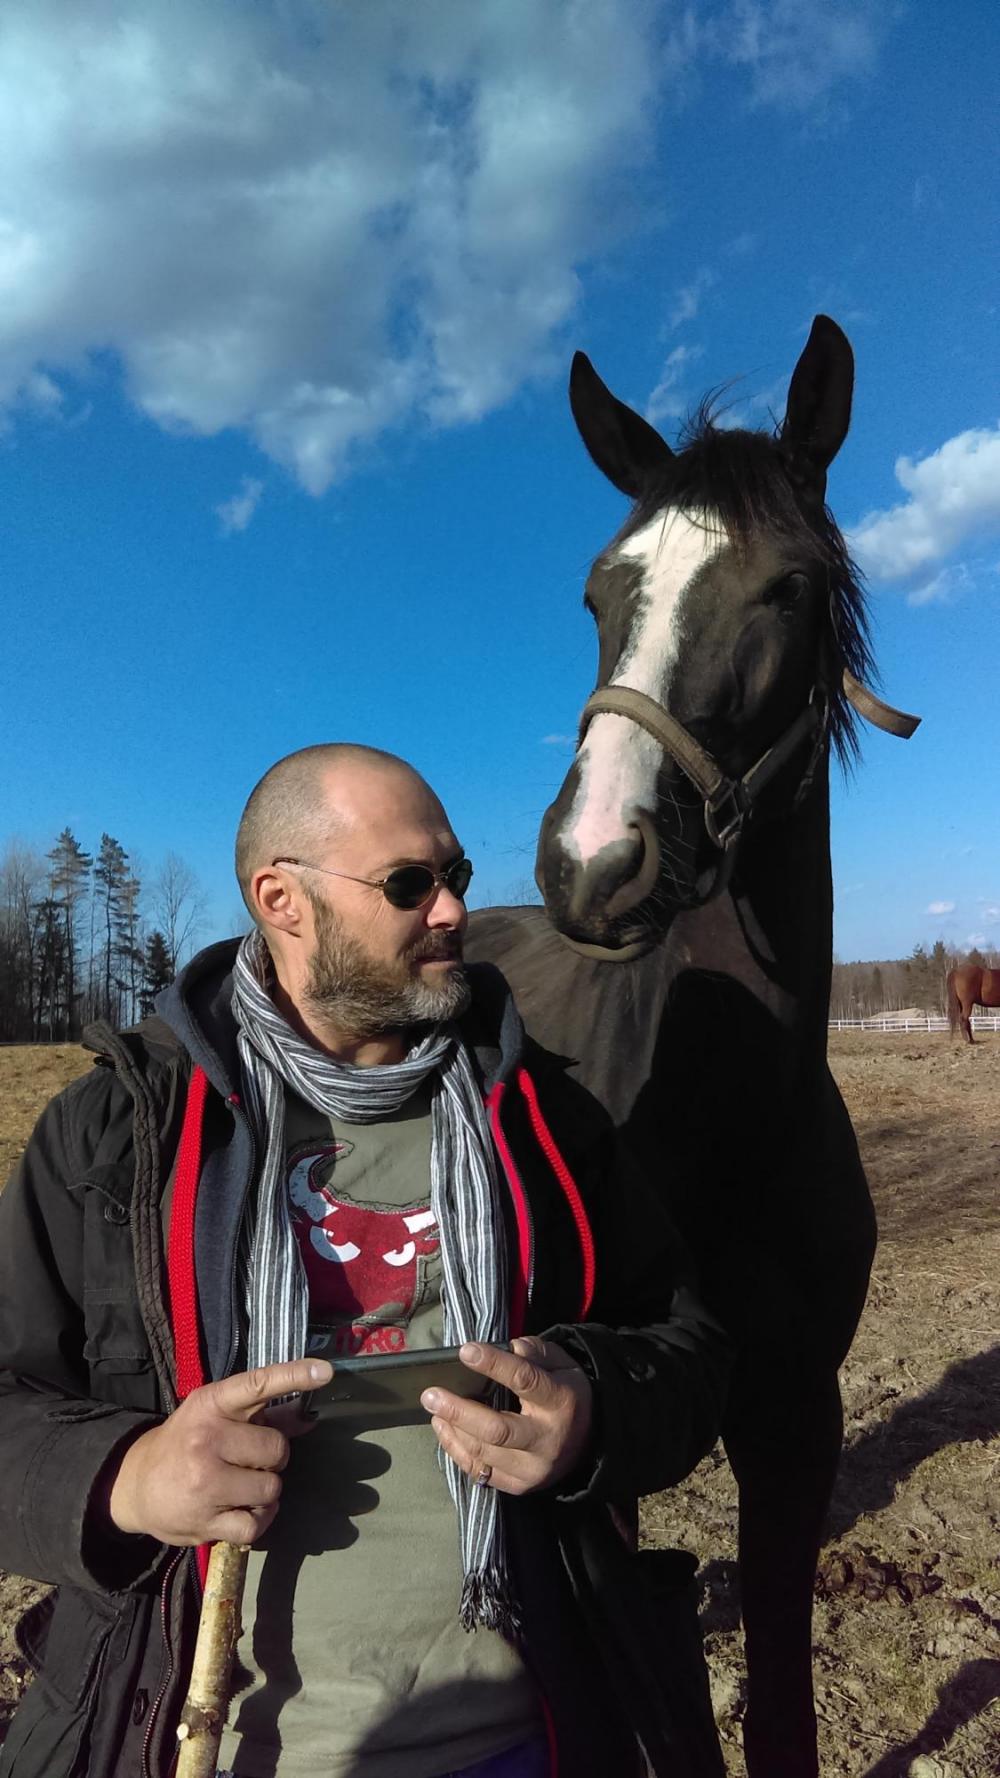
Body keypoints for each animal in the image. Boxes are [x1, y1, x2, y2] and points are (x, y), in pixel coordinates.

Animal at [466, 316, 919, 1778]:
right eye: (598, 593)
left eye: (789, 585)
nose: (593, 860)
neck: (735, 1109)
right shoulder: (590, 1447)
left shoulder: (794, 1420)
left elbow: (778, 1706)